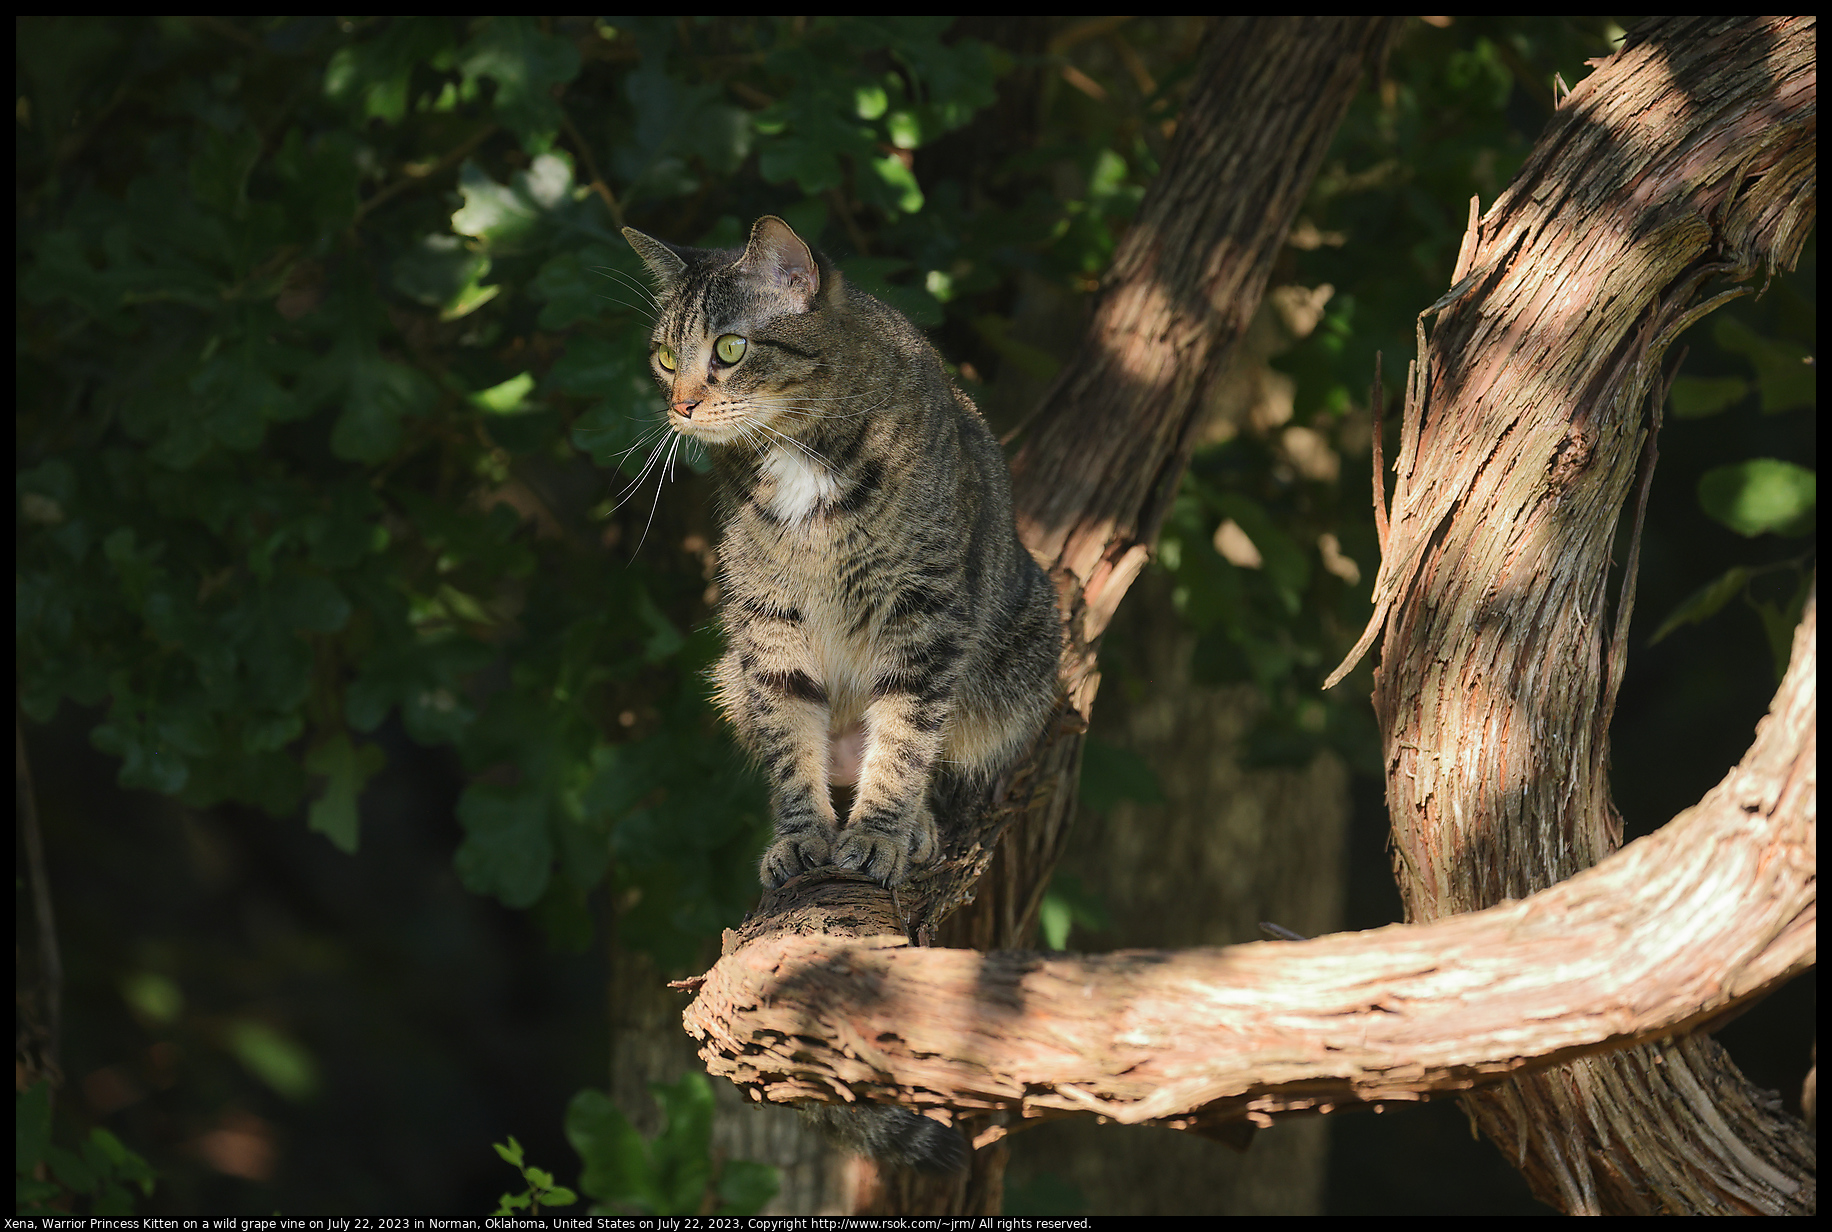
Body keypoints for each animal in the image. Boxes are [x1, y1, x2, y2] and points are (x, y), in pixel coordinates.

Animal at [626, 216, 1062, 894]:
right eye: (666, 357)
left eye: (730, 348)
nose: (681, 405)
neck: (797, 451)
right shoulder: (767, 617)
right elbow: (789, 738)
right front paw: (800, 836)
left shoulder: (925, 615)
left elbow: (906, 739)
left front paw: (881, 833)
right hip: (732, 674)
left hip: (1026, 651)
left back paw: (915, 823)